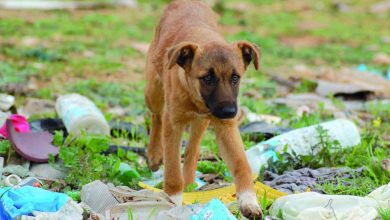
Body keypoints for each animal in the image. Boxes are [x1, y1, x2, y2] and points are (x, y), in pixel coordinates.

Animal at [144, 0, 262, 217]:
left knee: (192, 150)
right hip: (153, 92)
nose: (229, 112)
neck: (195, 98)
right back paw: (154, 155)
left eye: (235, 78)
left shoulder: (226, 128)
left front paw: (249, 201)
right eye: (207, 78)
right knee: (157, 116)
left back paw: (190, 182)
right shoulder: (173, 126)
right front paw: (172, 201)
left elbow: (241, 164)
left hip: (201, 123)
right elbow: (172, 170)